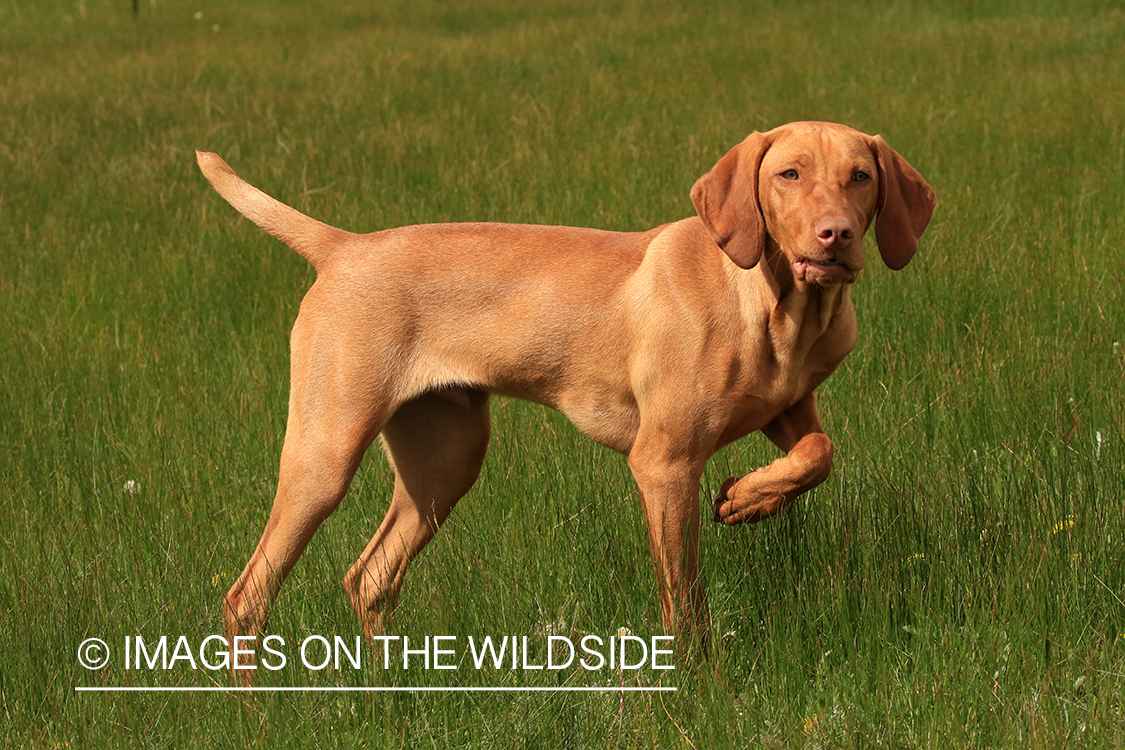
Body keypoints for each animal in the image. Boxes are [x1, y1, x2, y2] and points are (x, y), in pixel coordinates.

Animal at [198, 120, 936, 661]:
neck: (773, 304)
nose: (836, 236)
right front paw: (697, 689)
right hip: (325, 455)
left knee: (370, 578)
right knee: (246, 596)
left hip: (444, 463)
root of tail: (345, 247)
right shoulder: (663, 464)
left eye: (861, 176)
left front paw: (750, 499)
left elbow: (818, 452)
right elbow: (684, 601)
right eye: (789, 174)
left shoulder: (788, 409)